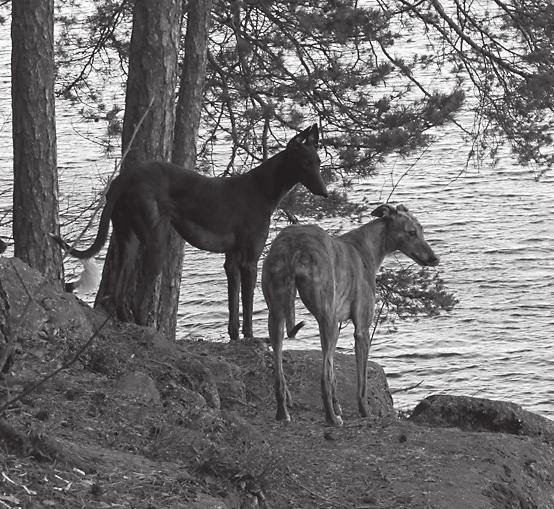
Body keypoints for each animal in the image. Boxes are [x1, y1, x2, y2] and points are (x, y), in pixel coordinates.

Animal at [52, 123, 326, 340]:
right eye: (305, 163)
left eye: (318, 162)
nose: (324, 192)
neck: (261, 189)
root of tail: (125, 177)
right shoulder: (249, 261)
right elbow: (247, 304)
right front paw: (251, 338)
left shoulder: (231, 261)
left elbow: (233, 305)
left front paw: (235, 337)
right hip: (156, 244)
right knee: (138, 301)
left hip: (128, 241)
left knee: (119, 295)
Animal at [260, 202, 438, 424]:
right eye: (411, 232)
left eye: (421, 229)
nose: (434, 259)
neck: (365, 248)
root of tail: (294, 246)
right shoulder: (361, 329)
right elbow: (361, 383)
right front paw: (365, 412)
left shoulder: (336, 322)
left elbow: (334, 374)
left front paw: (338, 405)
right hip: (325, 319)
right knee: (323, 378)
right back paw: (332, 419)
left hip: (276, 315)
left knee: (280, 374)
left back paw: (283, 413)